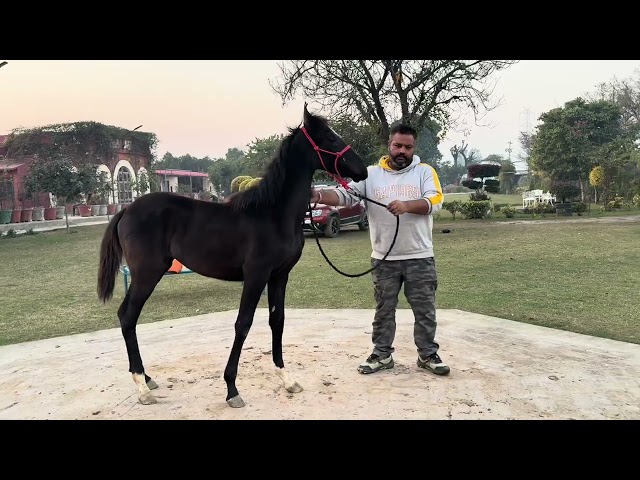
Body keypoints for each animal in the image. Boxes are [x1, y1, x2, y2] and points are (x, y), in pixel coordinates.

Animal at [99, 103, 370, 406]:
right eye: (329, 138)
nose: (362, 170)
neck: (273, 214)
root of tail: (126, 209)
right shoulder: (255, 276)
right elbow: (243, 324)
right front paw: (232, 388)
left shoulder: (279, 276)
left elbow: (277, 321)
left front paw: (286, 379)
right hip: (147, 274)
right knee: (128, 316)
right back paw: (142, 387)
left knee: (128, 318)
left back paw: (146, 378)